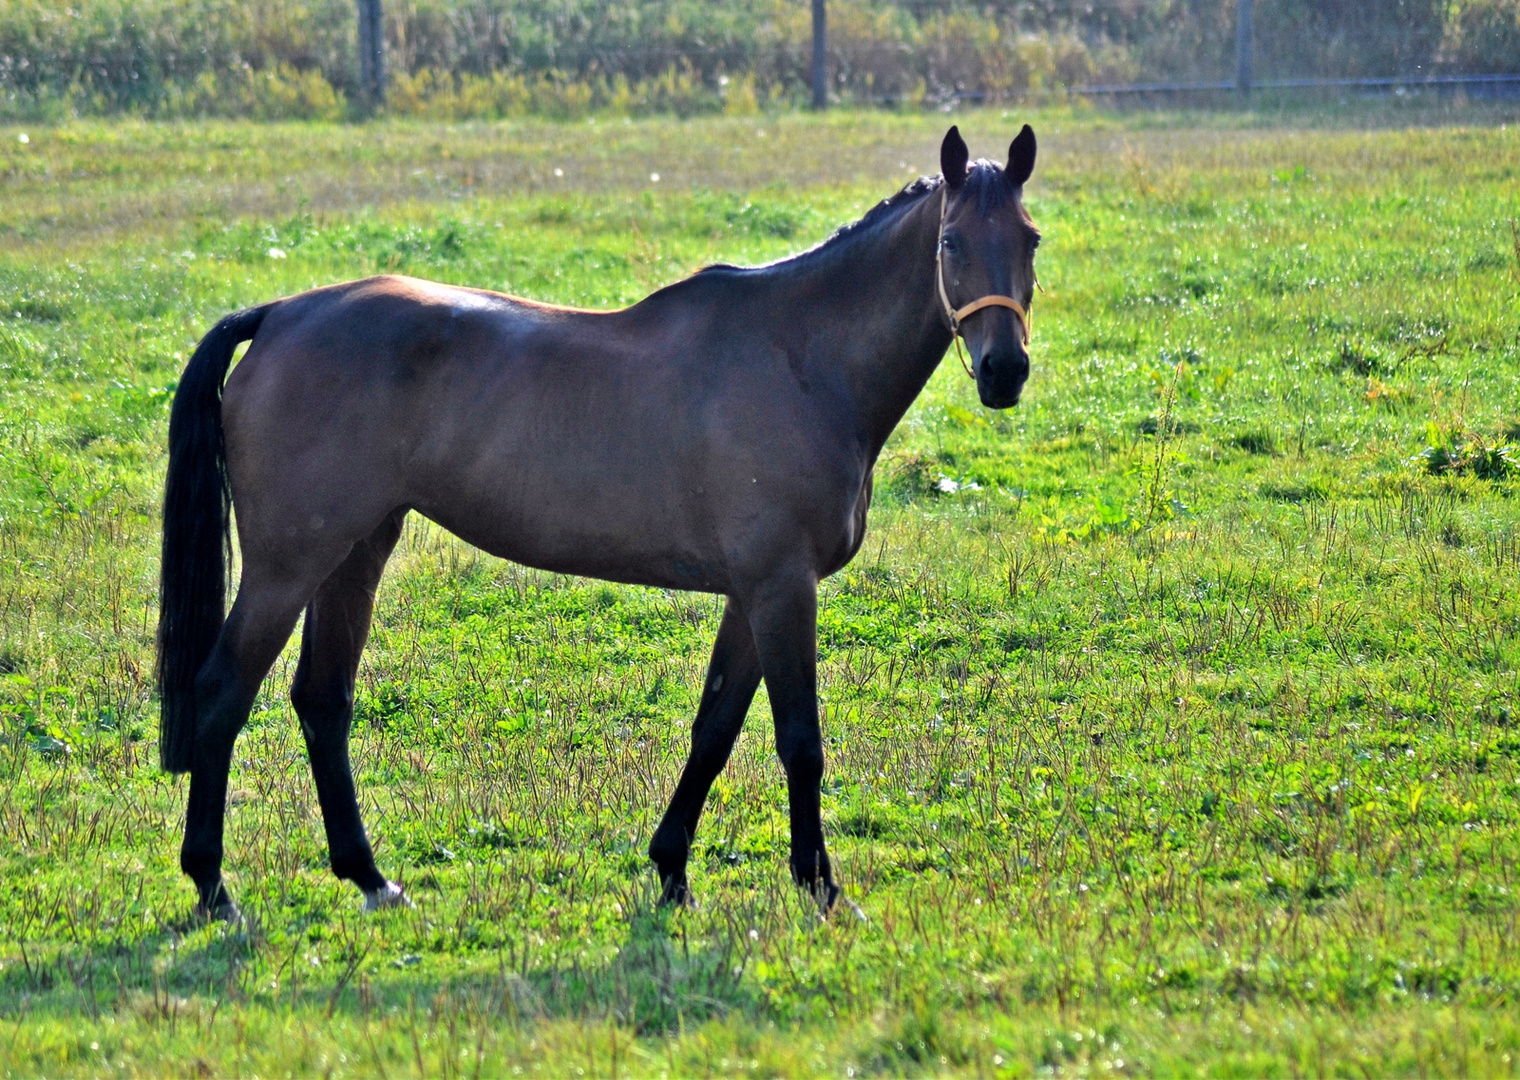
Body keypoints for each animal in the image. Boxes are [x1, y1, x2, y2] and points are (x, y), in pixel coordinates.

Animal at [163, 126, 1045, 923]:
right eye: (952, 241)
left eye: (1031, 239)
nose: (1003, 371)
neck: (800, 359)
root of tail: (279, 315)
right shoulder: (780, 586)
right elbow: (801, 740)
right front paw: (820, 889)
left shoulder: (749, 595)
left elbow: (715, 729)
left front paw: (672, 872)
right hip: (287, 566)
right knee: (222, 691)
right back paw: (213, 888)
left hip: (355, 550)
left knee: (322, 700)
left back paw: (370, 878)